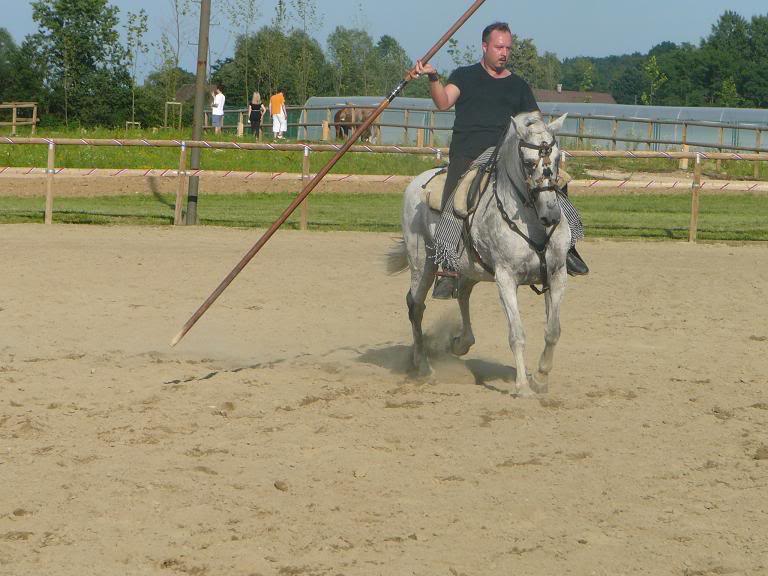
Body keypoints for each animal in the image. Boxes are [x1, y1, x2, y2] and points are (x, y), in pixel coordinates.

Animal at [390, 111, 568, 396]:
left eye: (558, 158)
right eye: (529, 163)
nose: (551, 215)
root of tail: (417, 183)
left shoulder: (557, 275)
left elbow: (553, 331)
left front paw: (540, 379)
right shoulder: (506, 278)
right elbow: (517, 335)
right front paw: (522, 386)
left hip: (471, 268)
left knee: (462, 292)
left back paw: (460, 343)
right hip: (423, 263)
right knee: (415, 306)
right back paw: (424, 367)